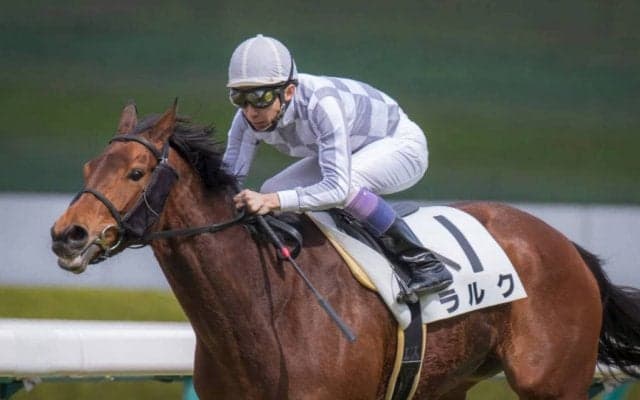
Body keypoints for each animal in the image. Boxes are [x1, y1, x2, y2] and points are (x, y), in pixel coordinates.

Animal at [51, 102, 640, 399]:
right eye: (88, 168)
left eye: (136, 171)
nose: (68, 233)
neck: (265, 309)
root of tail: (566, 244)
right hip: (447, 384)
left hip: (554, 384)